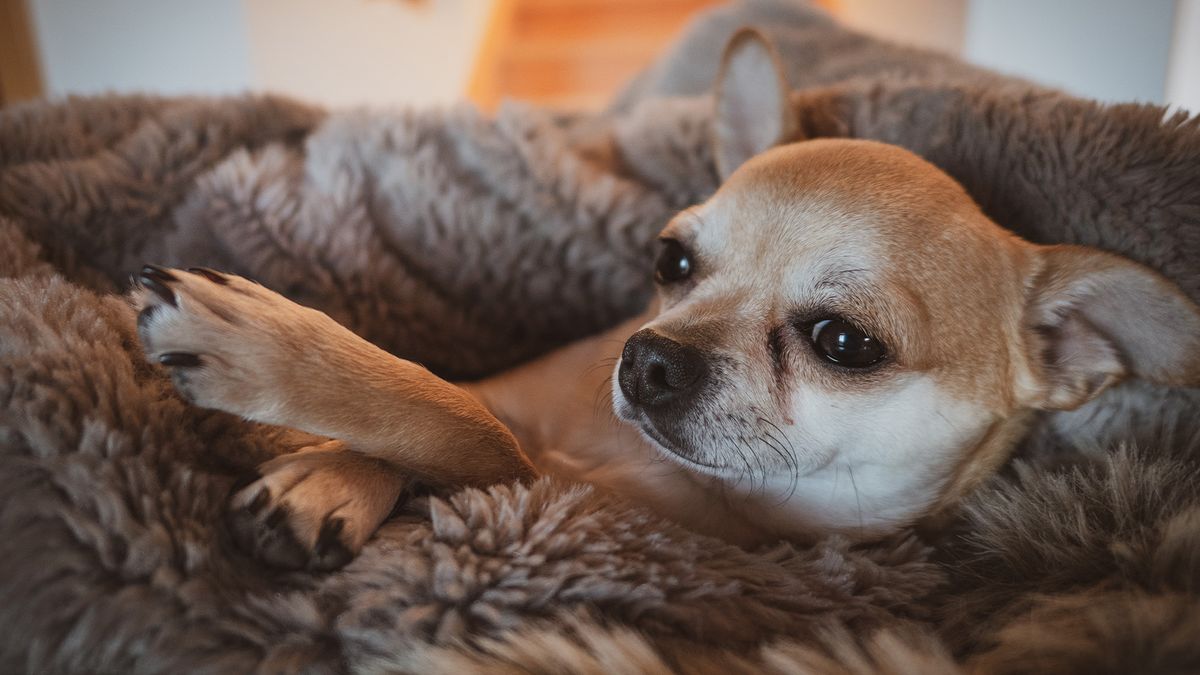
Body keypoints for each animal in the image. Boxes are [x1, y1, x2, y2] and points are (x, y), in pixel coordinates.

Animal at [136, 32, 1200, 566]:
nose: (648, 356)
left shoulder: (543, 478)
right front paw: (328, 475)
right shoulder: (517, 404)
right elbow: (456, 403)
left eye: (844, 342)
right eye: (672, 261)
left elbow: (451, 417)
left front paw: (266, 351)